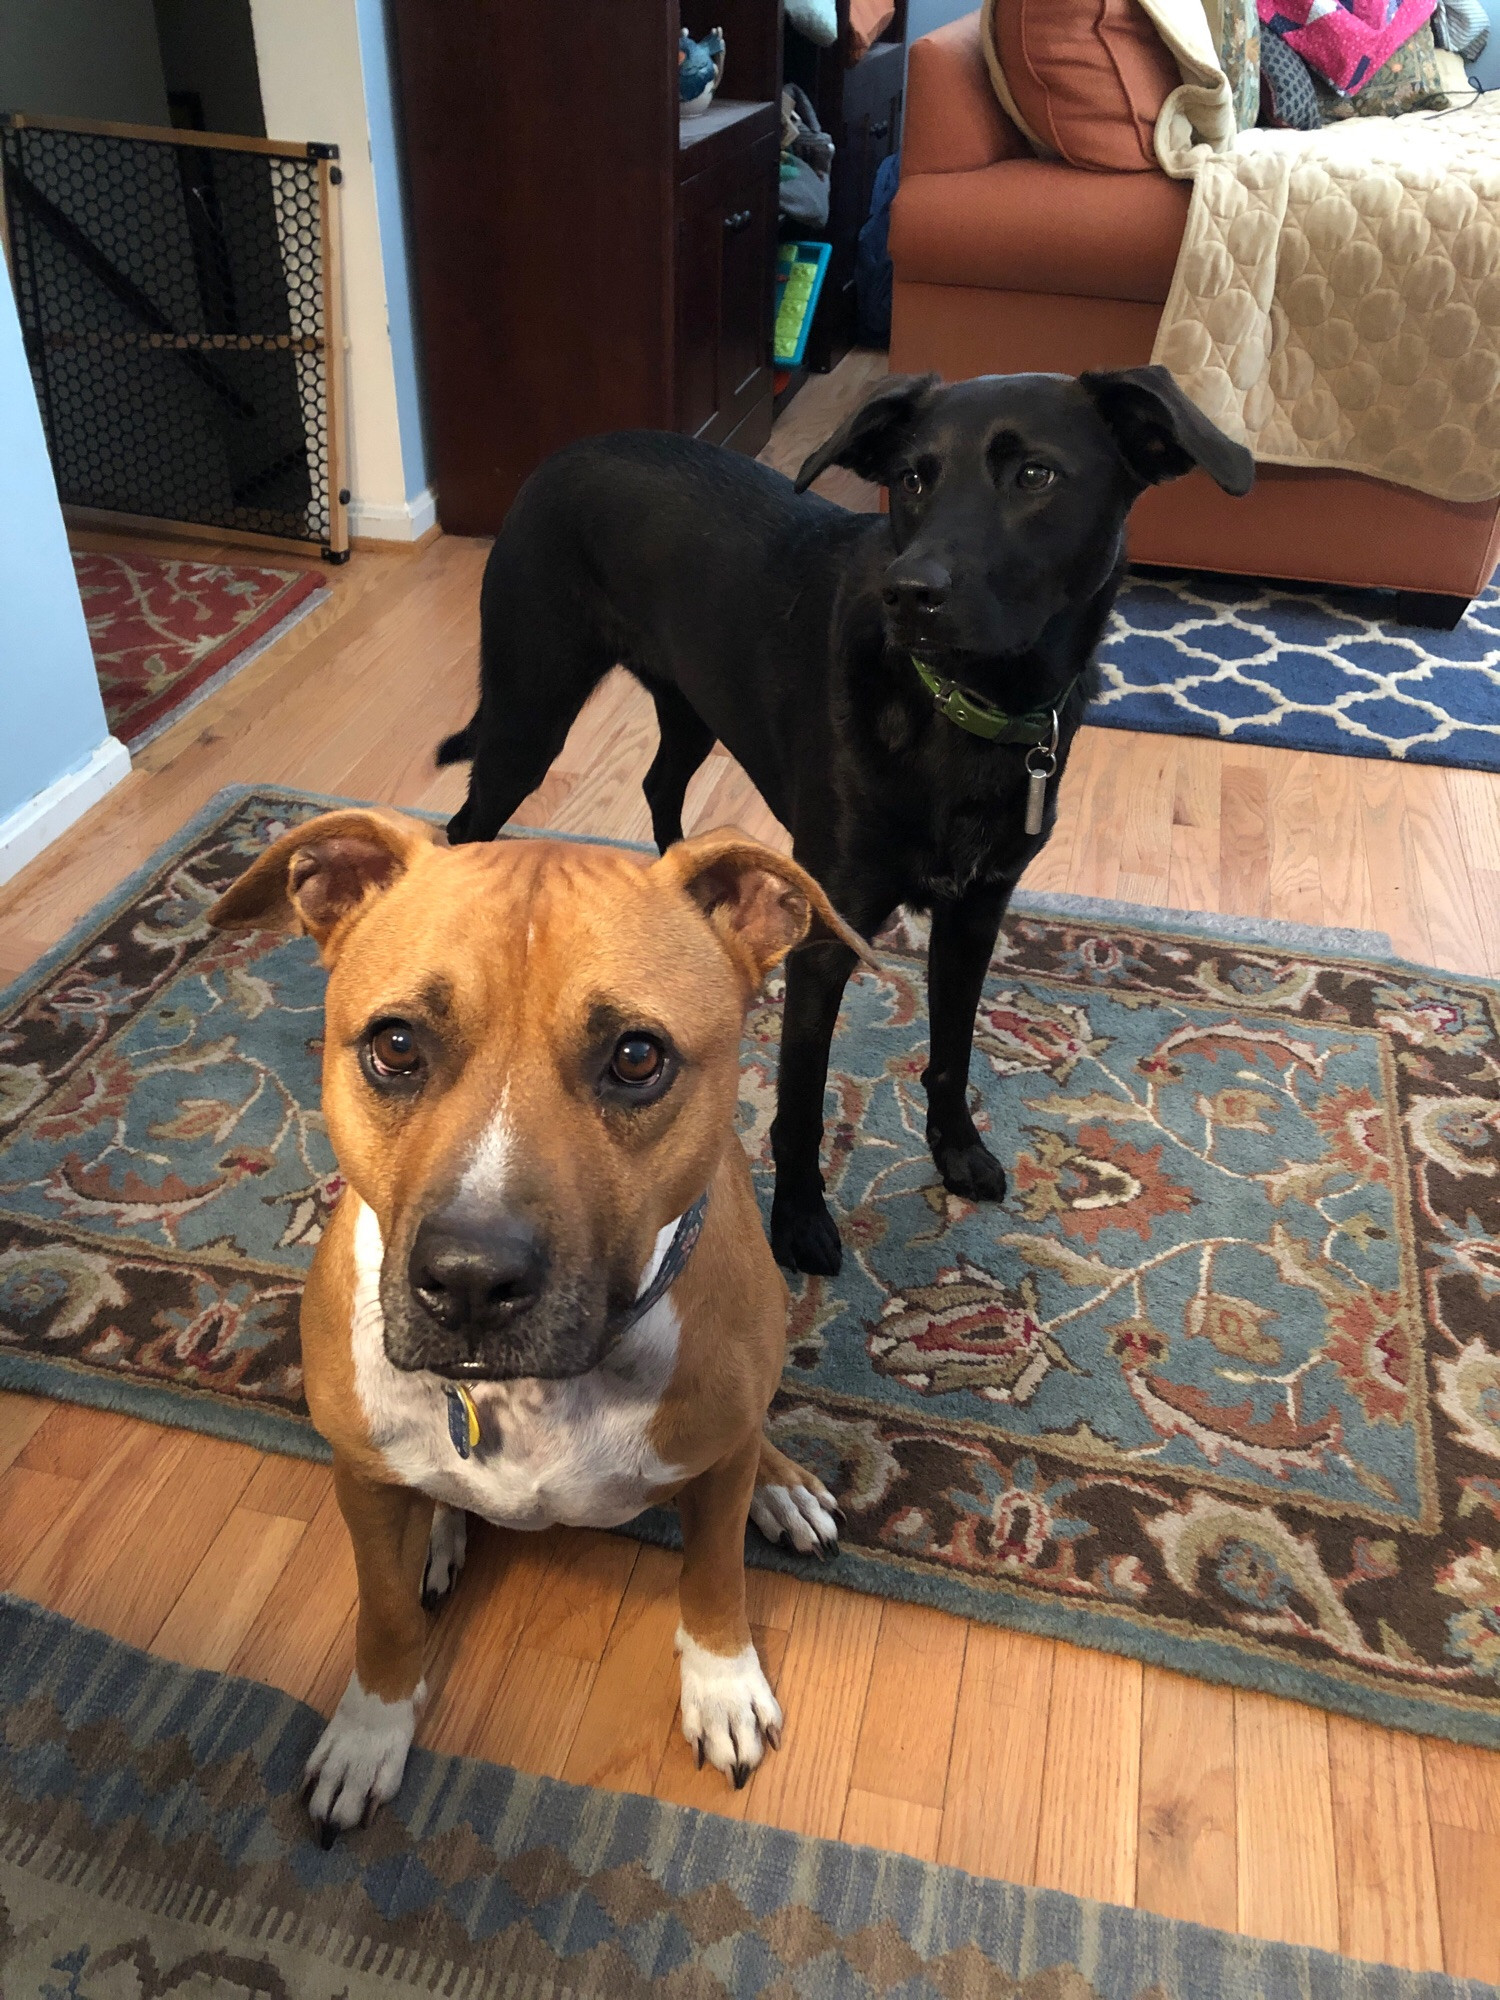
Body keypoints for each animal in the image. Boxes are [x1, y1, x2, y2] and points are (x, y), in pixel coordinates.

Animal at [210, 804, 868, 1832]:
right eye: (395, 1044)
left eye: (637, 1056)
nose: (471, 1280)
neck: (520, 1395)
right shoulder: (360, 1481)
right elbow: (382, 1614)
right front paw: (370, 1729)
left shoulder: (714, 1471)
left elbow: (713, 1574)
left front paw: (722, 1684)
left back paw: (784, 1485)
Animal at [438, 368, 1256, 1272]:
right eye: (911, 478)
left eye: (1035, 475)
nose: (911, 592)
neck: (965, 712)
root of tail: (566, 454)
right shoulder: (828, 938)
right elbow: (800, 1099)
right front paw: (798, 1219)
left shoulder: (975, 917)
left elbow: (951, 1050)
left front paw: (956, 1148)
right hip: (530, 712)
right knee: (465, 828)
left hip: (689, 703)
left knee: (659, 787)